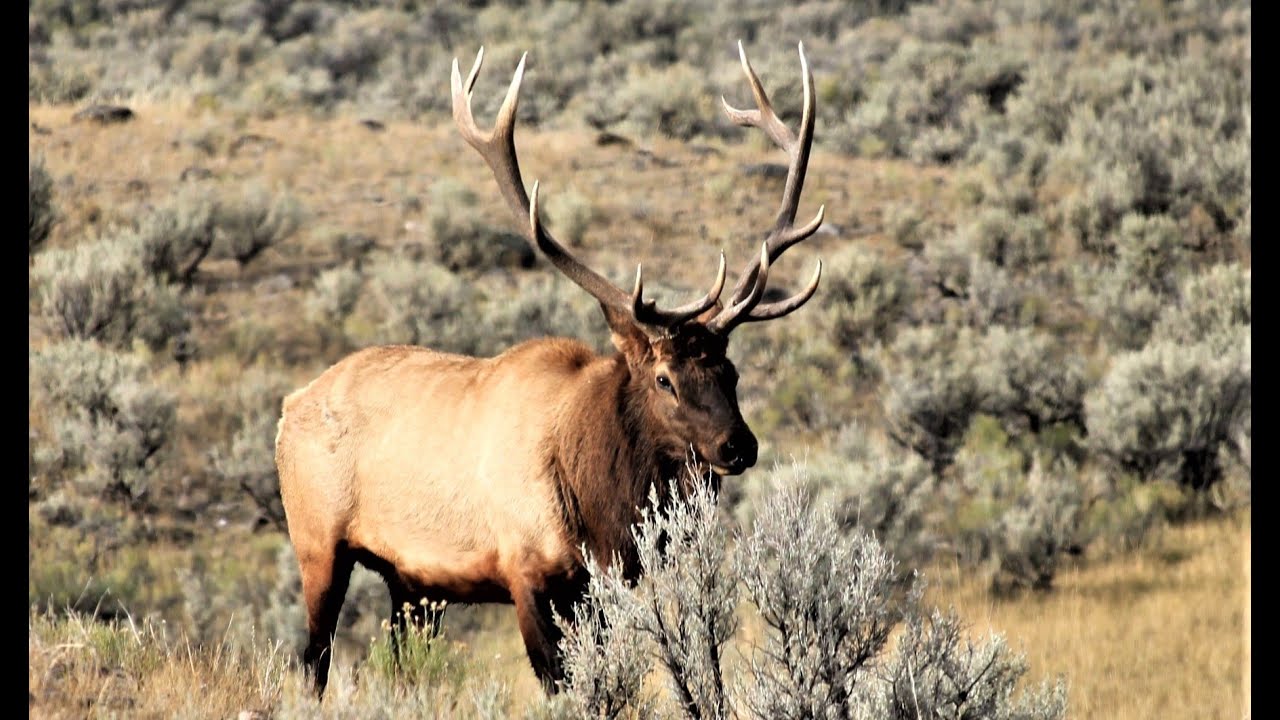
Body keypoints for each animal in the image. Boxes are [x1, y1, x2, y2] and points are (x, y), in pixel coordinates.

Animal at [275, 41, 827, 697]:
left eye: (732, 373)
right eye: (663, 378)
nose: (738, 445)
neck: (603, 516)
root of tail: (288, 407)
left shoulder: (604, 587)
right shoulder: (527, 572)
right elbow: (560, 683)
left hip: (410, 581)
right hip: (317, 543)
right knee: (313, 659)